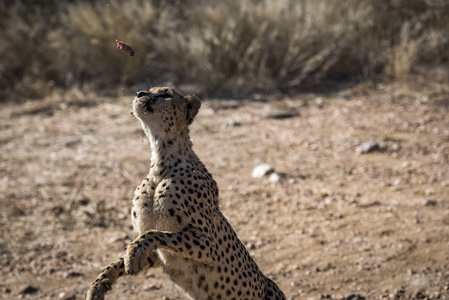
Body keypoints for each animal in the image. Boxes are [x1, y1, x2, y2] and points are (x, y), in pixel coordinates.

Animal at [86, 86, 286, 300]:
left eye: (165, 94)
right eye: (148, 90)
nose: (139, 94)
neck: (162, 164)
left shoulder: (208, 245)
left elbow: (153, 233)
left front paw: (132, 254)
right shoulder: (158, 254)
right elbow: (119, 260)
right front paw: (99, 284)